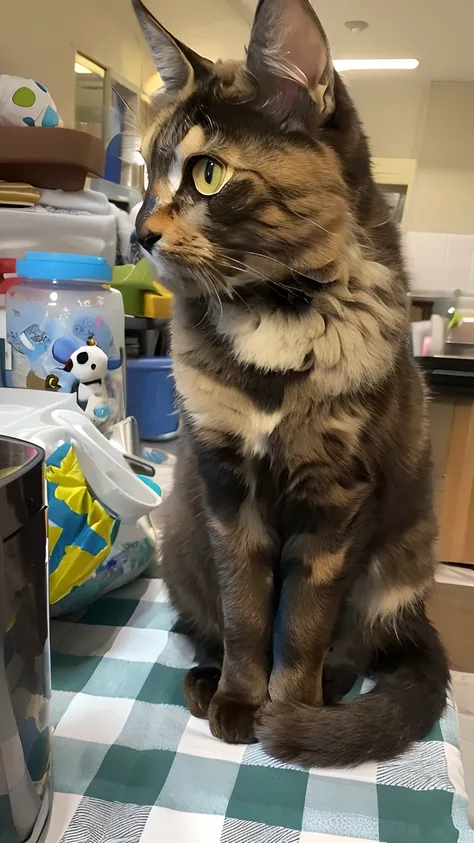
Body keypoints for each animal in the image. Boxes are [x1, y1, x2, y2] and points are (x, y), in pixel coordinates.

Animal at [132, 0, 448, 768]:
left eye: (207, 175)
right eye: (147, 170)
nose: (139, 231)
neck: (275, 314)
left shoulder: (336, 502)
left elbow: (301, 624)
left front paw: (291, 710)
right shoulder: (227, 488)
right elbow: (246, 613)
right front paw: (240, 700)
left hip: (399, 560)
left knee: (356, 646)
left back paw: (329, 690)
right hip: (182, 546)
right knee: (206, 621)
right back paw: (204, 678)